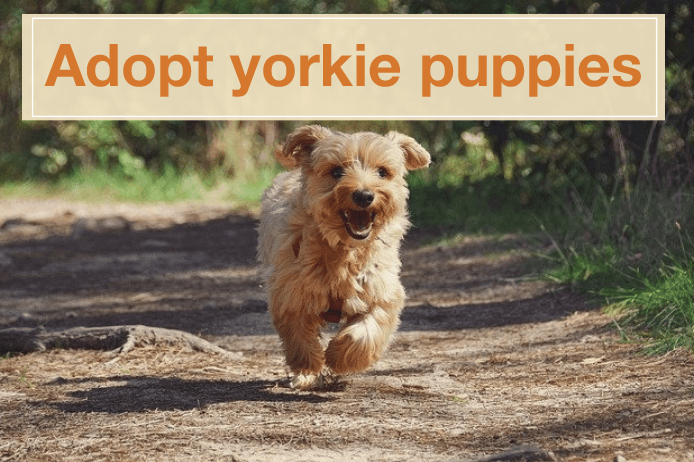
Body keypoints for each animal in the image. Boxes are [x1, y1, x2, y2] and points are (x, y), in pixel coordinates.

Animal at [256, 124, 430, 388]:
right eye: (336, 171)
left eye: (383, 172)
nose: (364, 195)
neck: (344, 249)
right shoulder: (291, 292)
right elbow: (300, 336)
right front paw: (308, 367)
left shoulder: (381, 291)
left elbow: (366, 331)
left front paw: (339, 357)